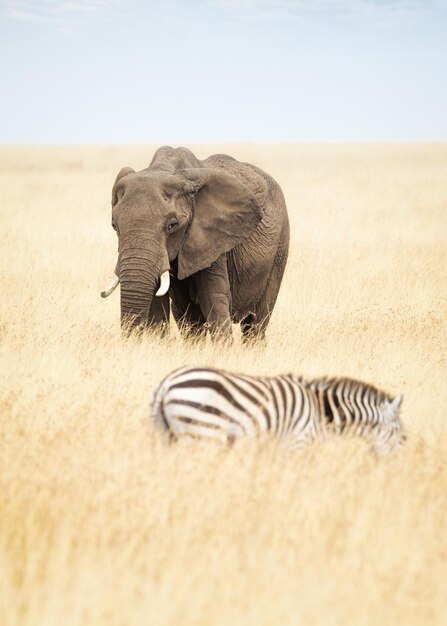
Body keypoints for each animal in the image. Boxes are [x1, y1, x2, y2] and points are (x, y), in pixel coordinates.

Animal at [101, 146, 290, 342]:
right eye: (114, 225)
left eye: (172, 225)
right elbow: (160, 303)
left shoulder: (213, 239)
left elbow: (212, 297)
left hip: (280, 248)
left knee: (255, 324)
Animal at [152, 366, 408, 454]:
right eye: (403, 438)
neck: (321, 412)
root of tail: (166, 384)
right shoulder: (298, 443)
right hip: (204, 433)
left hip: (167, 436)